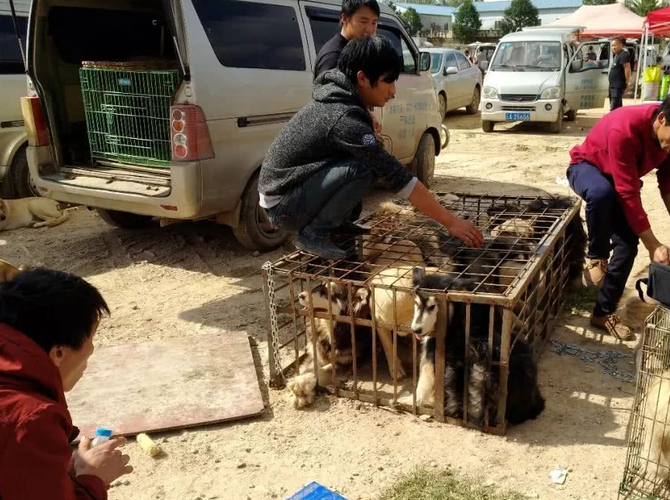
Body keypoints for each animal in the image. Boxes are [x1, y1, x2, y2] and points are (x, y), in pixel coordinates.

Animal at [286, 280, 376, 408]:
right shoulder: (316, 353)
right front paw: (299, 381)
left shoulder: (349, 361)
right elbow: (309, 367)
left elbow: (324, 370)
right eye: (320, 286)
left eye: (328, 292)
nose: (300, 295)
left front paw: (303, 387)